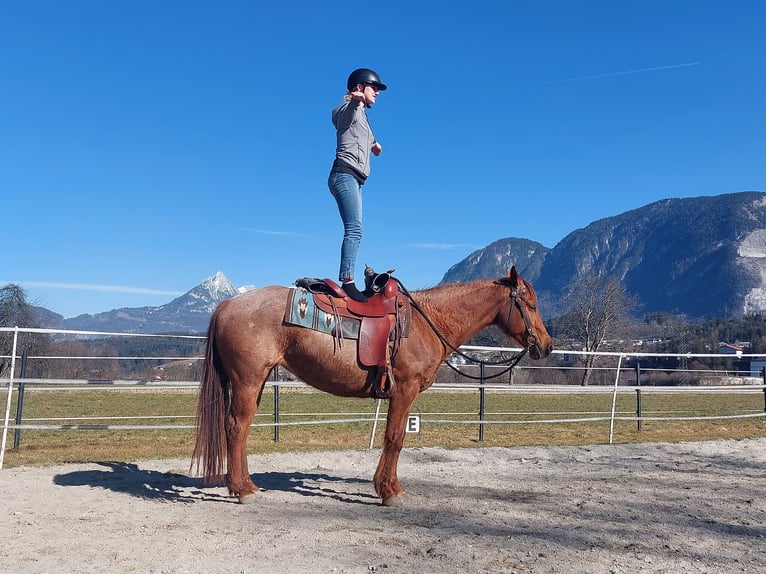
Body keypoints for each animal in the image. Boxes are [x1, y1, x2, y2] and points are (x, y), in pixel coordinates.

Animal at [192, 268, 552, 506]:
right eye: (531, 305)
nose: (547, 346)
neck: (426, 322)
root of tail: (227, 305)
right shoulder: (404, 390)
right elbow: (394, 439)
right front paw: (389, 491)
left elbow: (395, 438)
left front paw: (389, 487)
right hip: (248, 380)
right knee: (236, 427)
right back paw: (243, 490)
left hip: (255, 381)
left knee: (239, 428)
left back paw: (245, 484)